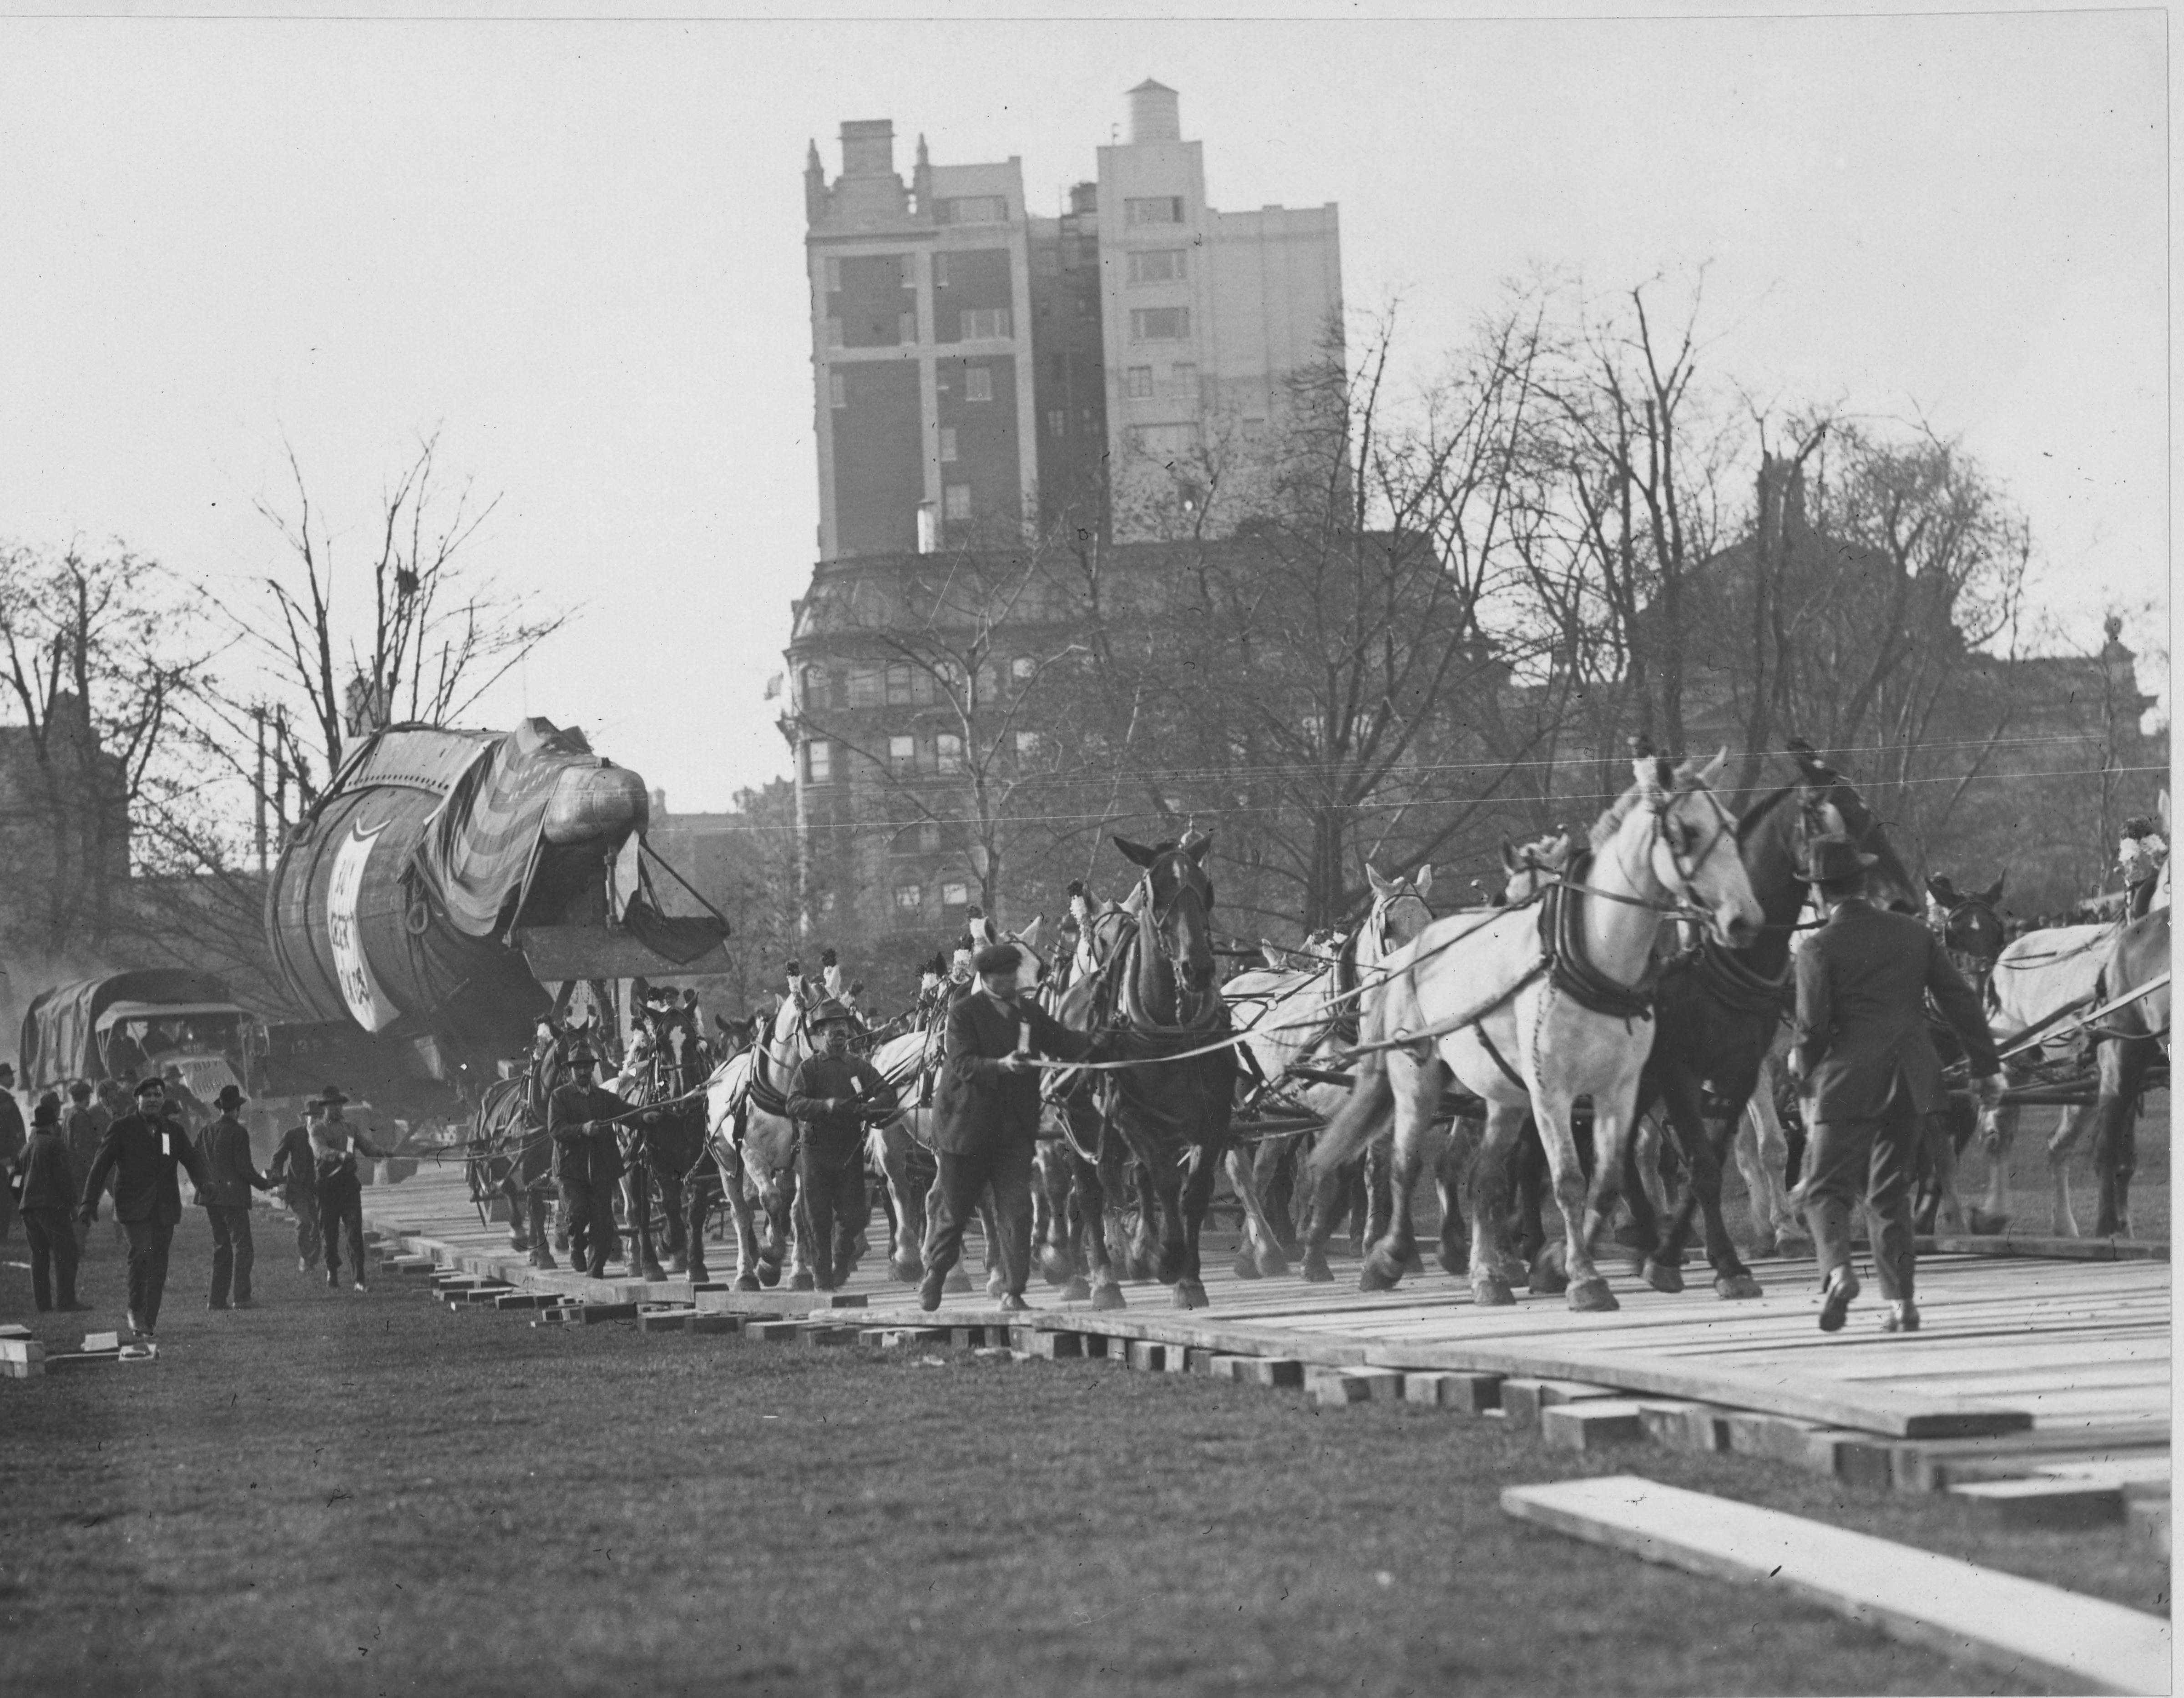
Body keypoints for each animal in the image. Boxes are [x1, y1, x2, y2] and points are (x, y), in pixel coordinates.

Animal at [1311, 750, 1762, 1311]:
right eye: (1687, 833)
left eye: (1732, 829)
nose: (1743, 919)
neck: (1594, 961)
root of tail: (1413, 958)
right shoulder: (1552, 1091)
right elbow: (1566, 1179)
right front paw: (1583, 1277)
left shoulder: (1619, 1090)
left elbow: (1605, 1178)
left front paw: (1561, 1259)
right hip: (1419, 1077)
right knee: (1404, 1163)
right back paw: (1390, 1256)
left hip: (1500, 1094)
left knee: (1482, 1176)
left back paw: (1487, 1273)